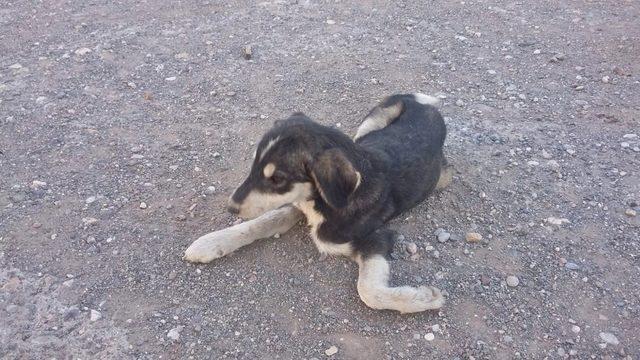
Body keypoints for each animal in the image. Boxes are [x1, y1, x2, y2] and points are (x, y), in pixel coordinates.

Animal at [185, 94, 450, 314]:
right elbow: (258, 223)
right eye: (254, 166)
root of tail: (424, 104)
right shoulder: (296, 205)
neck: (324, 201)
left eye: (277, 179)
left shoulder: (378, 236)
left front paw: (424, 298)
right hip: (371, 122)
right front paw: (210, 243)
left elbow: (368, 291)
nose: (231, 207)